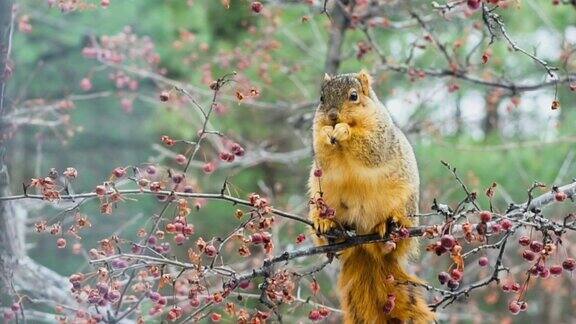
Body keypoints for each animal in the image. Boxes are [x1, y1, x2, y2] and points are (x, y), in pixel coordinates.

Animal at [308, 69, 434, 322]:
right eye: (321, 98)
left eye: (354, 96)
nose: (333, 116)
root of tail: (364, 243)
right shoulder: (321, 155)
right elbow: (323, 152)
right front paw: (327, 132)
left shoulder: (379, 136)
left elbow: (369, 146)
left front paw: (344, 131)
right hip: (319, 198)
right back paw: (325, 226)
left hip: (406, 206)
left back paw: (390, 228)